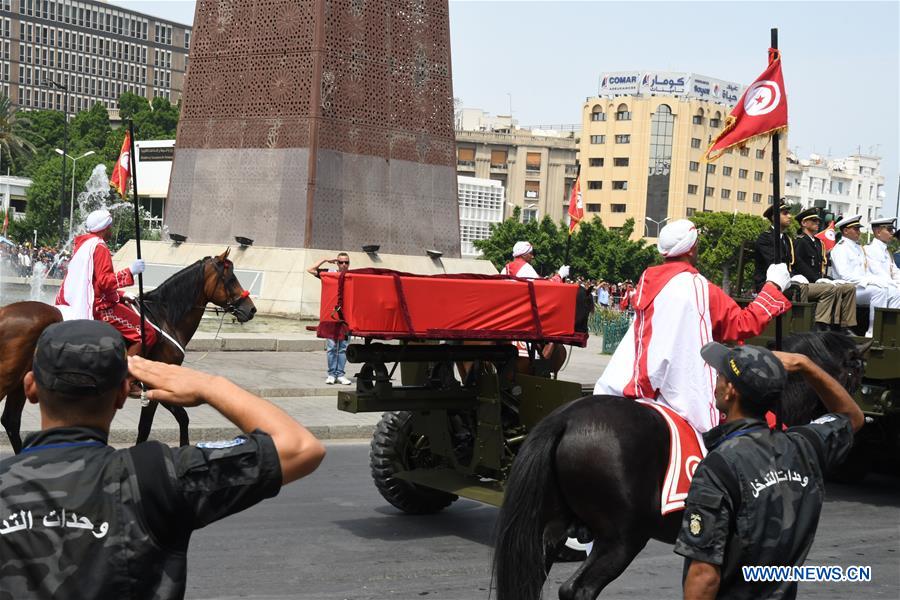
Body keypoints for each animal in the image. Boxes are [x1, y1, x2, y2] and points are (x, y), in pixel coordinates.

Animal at [0, 247, 253, 450]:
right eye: (231, 278)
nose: (250, 309)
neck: (165, 316)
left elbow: (182, 418)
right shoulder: (152, 386)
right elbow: (146, 428)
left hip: (22, 381)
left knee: (11, 421)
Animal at [492, 332, 872, 600]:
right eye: (857, 370)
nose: (863, 416)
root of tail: (567, 418)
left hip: (550, 529)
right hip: (622, 538)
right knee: (579, 590)